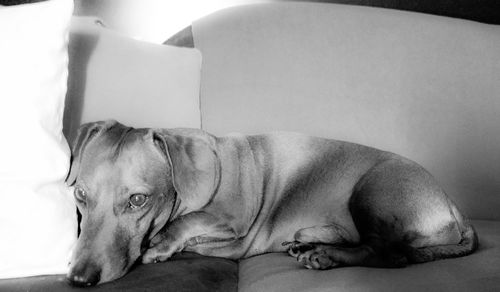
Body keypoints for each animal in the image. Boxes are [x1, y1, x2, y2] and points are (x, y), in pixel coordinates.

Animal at [64, 120, 478, 286]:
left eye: (138, 200)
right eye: (80, 195)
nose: (79, 279)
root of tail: (452, 207)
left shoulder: (234, 219)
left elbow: (186, 222)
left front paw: (161, 244)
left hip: (372, 190)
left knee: (389, 255)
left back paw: (325, 255)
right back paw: (309, 242)